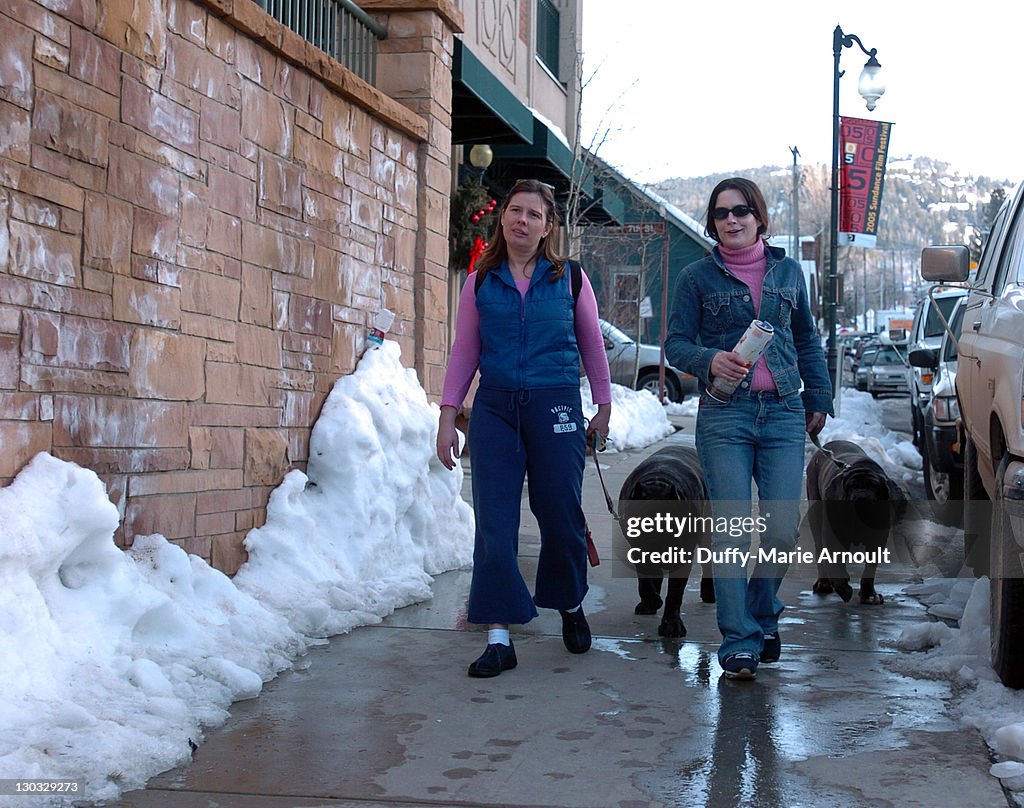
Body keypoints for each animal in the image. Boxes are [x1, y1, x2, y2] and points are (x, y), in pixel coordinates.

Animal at [614, 440, 712, 634]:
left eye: (672, 522)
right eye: (641, 521)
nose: (657, 541)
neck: (657, 483)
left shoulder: (683, 557)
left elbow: (675, 593)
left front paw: (671, 625)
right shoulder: (638, 550)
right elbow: (645, 580)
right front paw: (651, 601)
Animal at [802, 438, 909, 602]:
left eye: (874, 486)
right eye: (851, 486)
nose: (861, 497)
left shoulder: (877, 539)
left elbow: (870, 568)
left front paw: (869, 595)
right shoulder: (833, 535)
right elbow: (834, 562)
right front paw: (844, 589)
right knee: (819, 549)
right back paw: (823, 584)